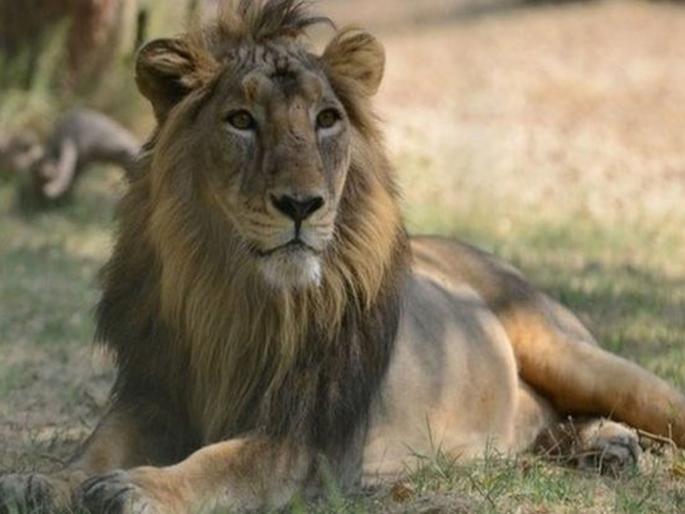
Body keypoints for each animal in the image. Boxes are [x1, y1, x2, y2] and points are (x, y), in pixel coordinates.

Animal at [1, 1, 684, 513]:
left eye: (326, 119)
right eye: (241, 120)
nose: (302, 204)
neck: (230, 292)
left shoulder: (303, 443)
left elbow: (218, 465)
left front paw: (139, 487)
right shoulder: (151, 391)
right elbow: (96, 447)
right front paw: (46, 482)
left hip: (575, 355)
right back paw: (604, 446)